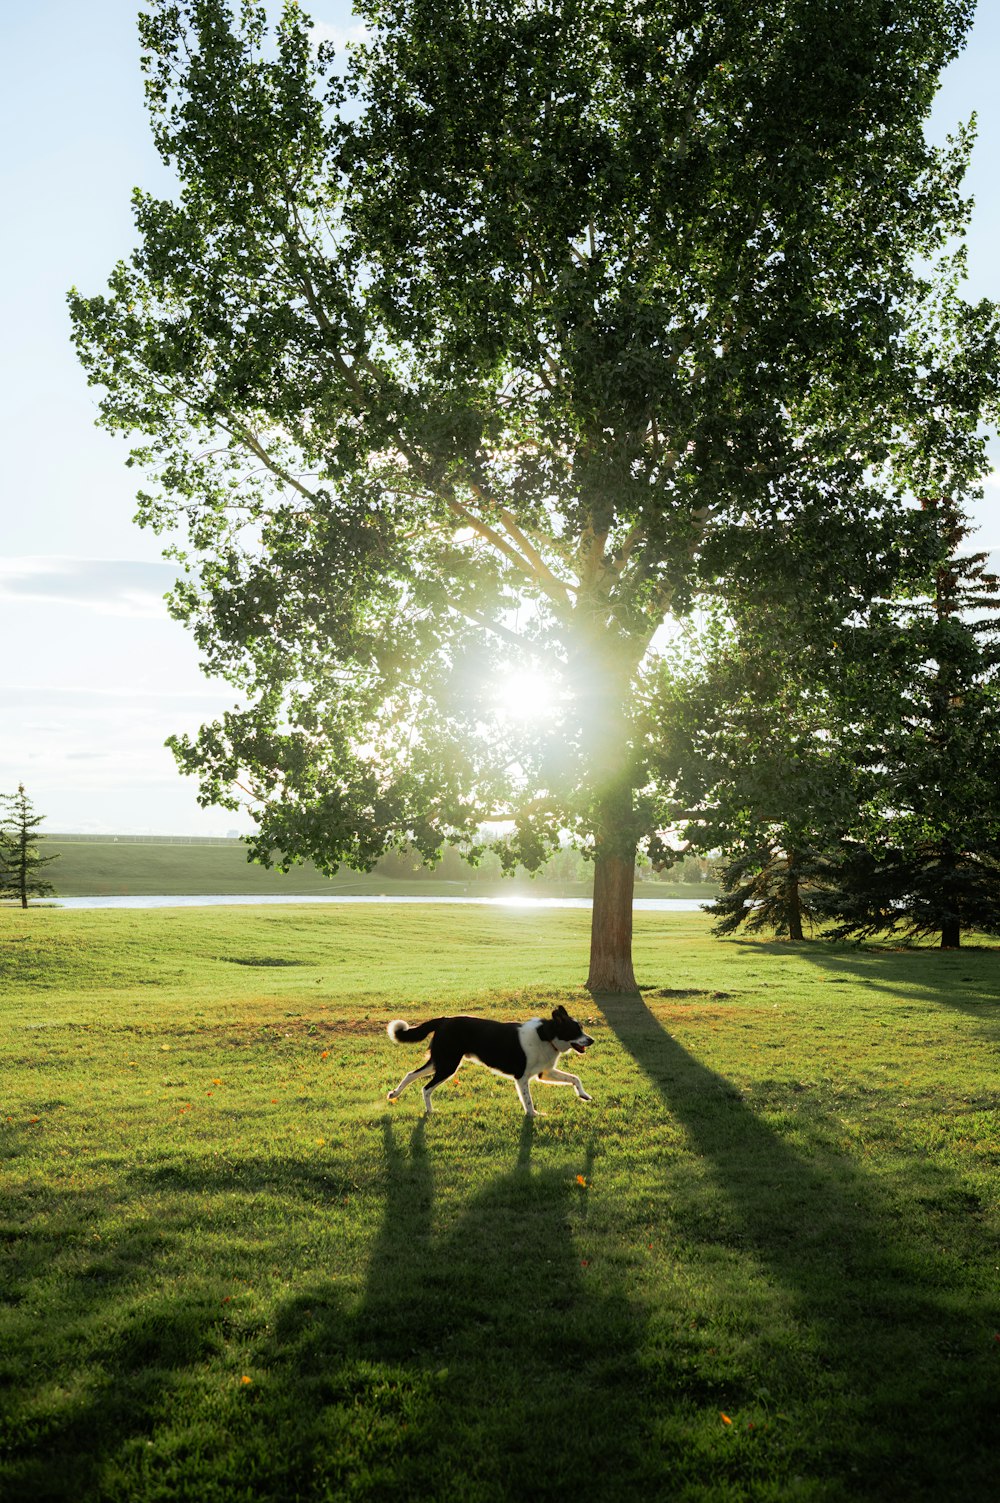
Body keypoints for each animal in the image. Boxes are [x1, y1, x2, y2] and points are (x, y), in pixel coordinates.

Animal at [387, 1004, 592, 1112]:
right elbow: (527, 1100)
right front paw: (533, 1115)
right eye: (575, 1030)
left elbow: (575, 1078)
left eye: (581, 1028)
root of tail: (444, 1019)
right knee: (426, 1088)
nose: (592, 1040)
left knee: (411, 1075)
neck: (546, 1035)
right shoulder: (522, 1077)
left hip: (440, 1061)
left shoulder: (545, 1073)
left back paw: (394, 1094)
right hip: (448, 1065)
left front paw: (584, 1095)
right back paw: (430, 1111)